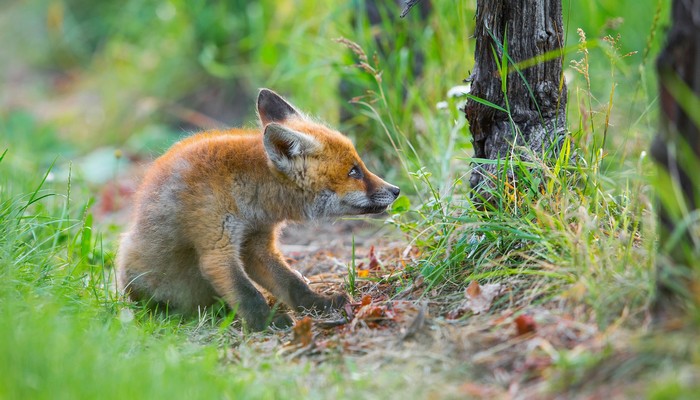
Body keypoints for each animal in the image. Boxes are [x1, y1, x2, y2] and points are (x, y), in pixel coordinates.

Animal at [115, 89, 400, 330]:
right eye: (354, 171)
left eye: (359, 166)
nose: (396, 189)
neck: (249, 197)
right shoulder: (217, 248)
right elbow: (248, 294)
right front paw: (267, 323)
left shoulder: (257, 244)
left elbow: (292, 283)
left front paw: (318, 304)